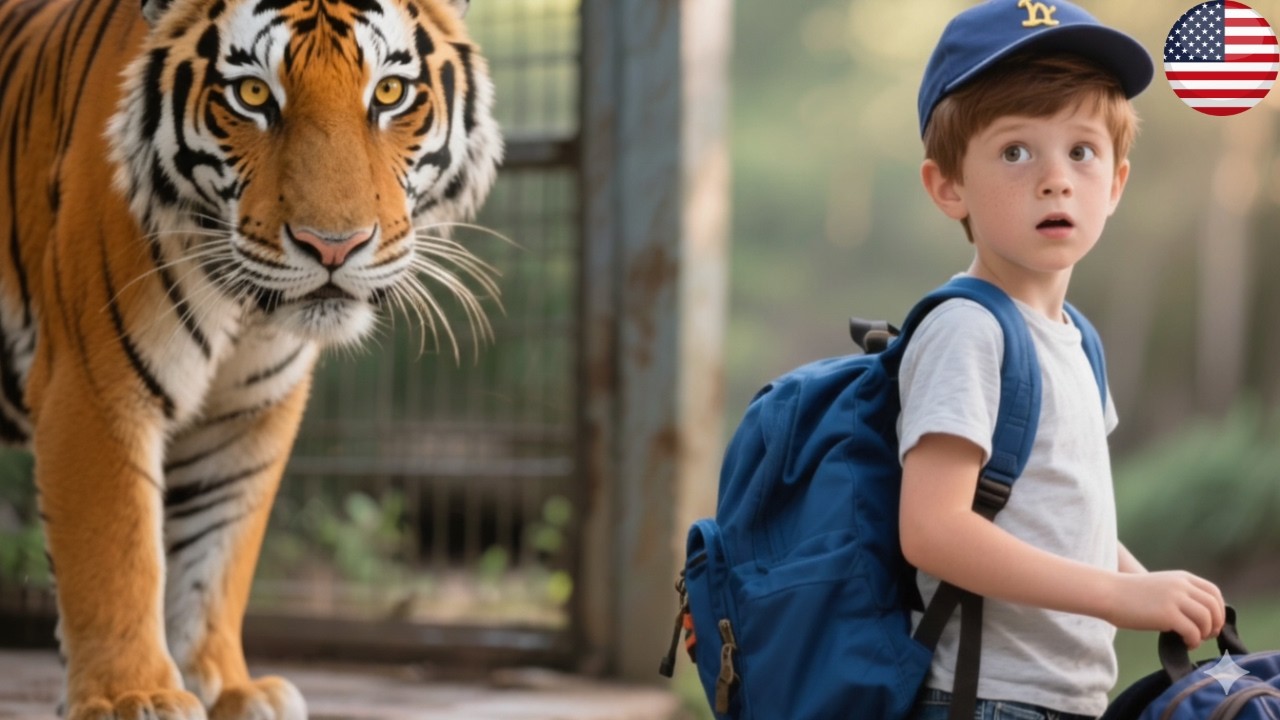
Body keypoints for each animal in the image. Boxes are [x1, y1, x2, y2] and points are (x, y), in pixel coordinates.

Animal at [0, 0, 501, 713]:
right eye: (254, 95)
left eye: (388, 93)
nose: (333, 246)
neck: (245, 310)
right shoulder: (94, 387)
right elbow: (116, 552)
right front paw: (134, 696)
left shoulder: (249, 415)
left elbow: (217, 555)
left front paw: (228, 686)